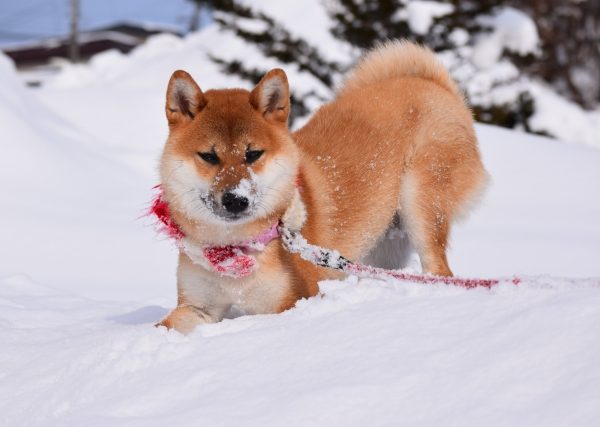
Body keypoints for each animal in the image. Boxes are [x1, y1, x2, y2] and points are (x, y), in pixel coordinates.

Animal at [156, 41, 488, 334]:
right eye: (209, 156)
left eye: (253, 155)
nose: (236, 200)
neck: (233, 249)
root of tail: (436, 87)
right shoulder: (197, 306)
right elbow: (165, 327)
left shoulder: (290, 302)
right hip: (381, 245)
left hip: (421, 207)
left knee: (439, 270)